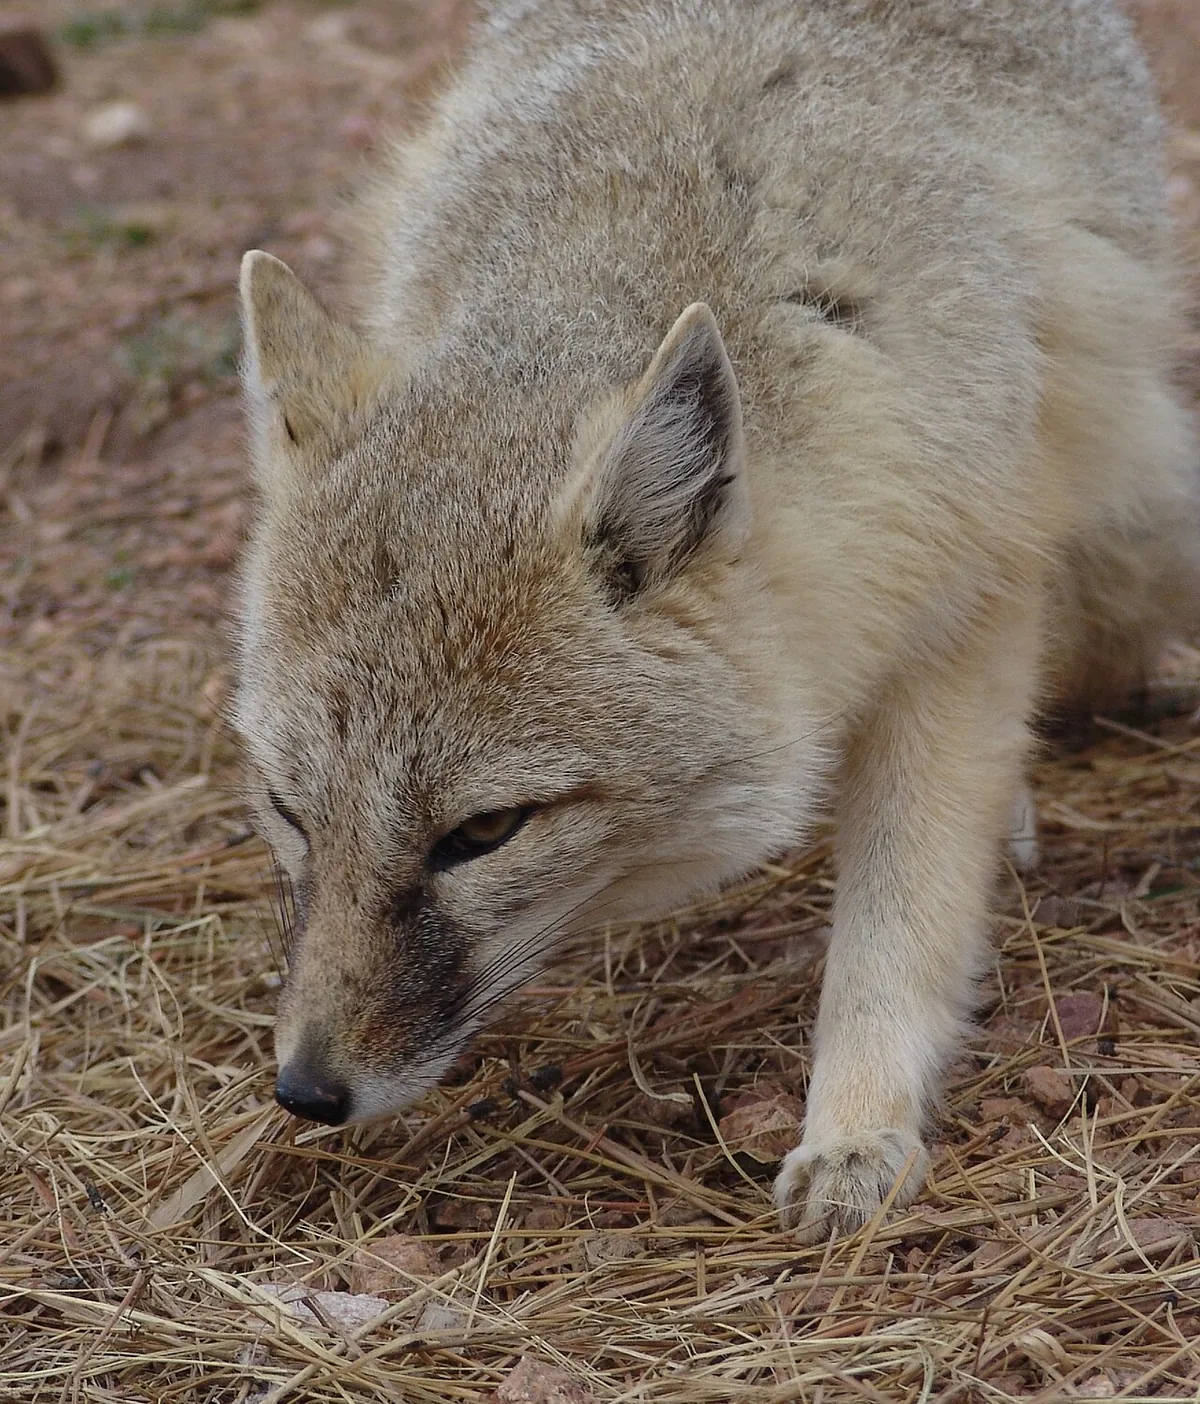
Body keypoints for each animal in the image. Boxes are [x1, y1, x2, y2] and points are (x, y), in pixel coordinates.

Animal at [234, 0, 1198, 1238]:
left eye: (484, 832)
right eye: (286, 810)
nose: (307, 1091)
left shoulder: (965, 587)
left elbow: (902, 905)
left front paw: (857, 1123)